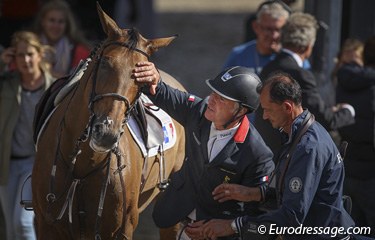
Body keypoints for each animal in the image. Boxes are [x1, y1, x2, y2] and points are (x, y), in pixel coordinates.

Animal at [32, 3, 187, 238]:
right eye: (105, 62)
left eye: (142, 77)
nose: (106, 133)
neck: (84, 163)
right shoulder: (46, 224)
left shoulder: (119, 229)